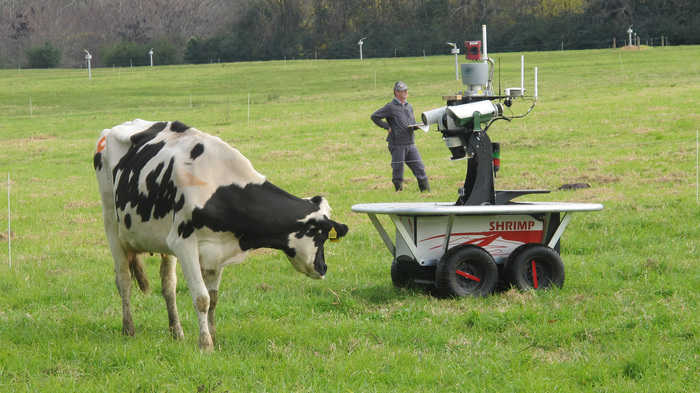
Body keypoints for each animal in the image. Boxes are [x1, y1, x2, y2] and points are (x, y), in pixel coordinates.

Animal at [94, 118, 348, 350]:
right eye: (322, 236)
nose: (323, 268)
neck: (217, 184)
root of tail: (117, 127)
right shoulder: (184, 244)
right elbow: (202, 298)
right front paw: (206, 345)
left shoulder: (218, 250)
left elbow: (213, 298)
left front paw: (213, 338)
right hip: (111, 224)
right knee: (124, 280)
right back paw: (129, 330)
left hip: (161, 241)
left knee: (168, 285)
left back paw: (176, 332)